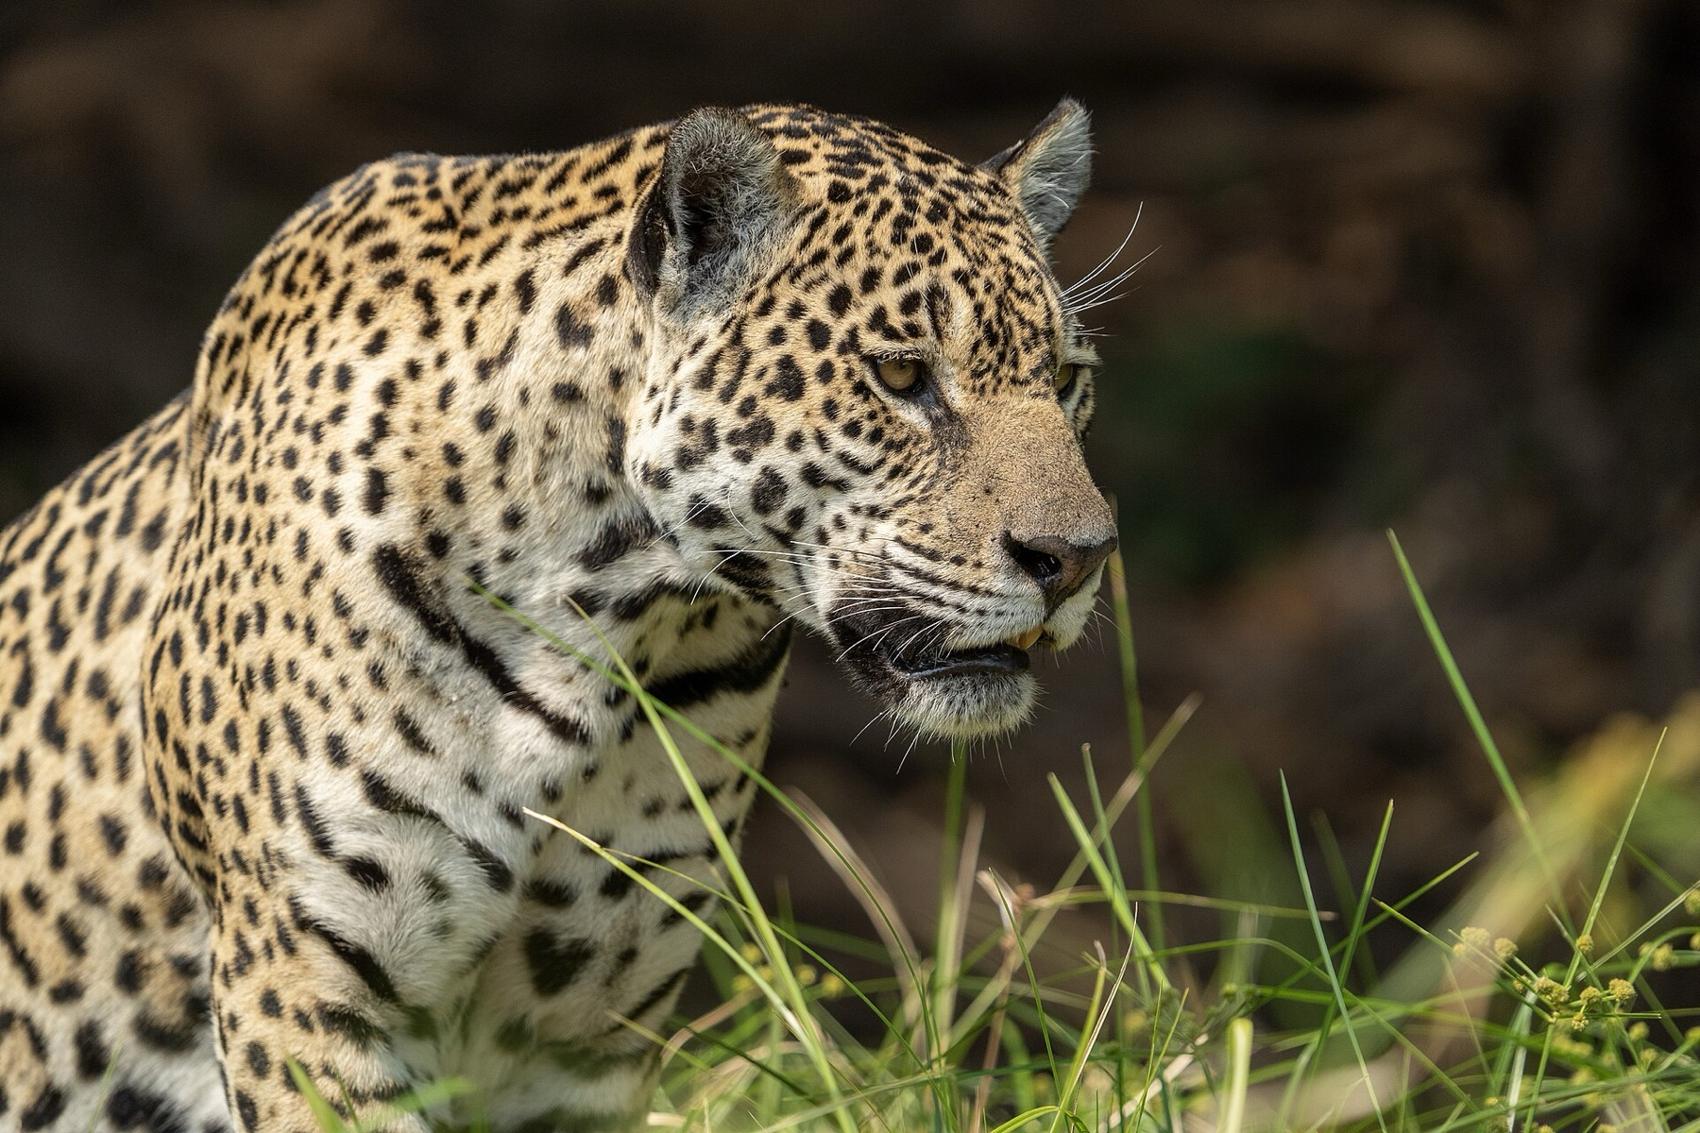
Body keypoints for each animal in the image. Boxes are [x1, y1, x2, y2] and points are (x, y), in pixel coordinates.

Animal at [0, 99, 1117, 1131]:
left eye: (1066, 378)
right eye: (898, 375)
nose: (1076, 558)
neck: (611, 619)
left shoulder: (582, 1029)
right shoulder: (305, 986)